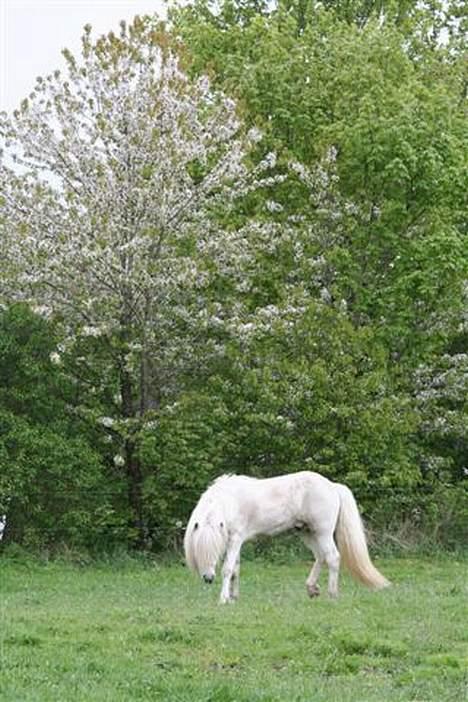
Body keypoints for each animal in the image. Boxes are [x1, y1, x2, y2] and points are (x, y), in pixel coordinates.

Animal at [185, 472, 390, 604]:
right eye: (198, 552)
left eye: (214, 552)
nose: (208, 578)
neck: (231, 501)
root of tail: (332, 486)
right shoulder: (235, 541)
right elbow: (236, 569)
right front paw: (233, 598)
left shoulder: (235, 539)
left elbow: (228, 569)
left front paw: (223, 599)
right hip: (307, 532)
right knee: (321, 557)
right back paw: (312, 589)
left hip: (322, 532)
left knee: (332, 557)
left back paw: (332, 594)